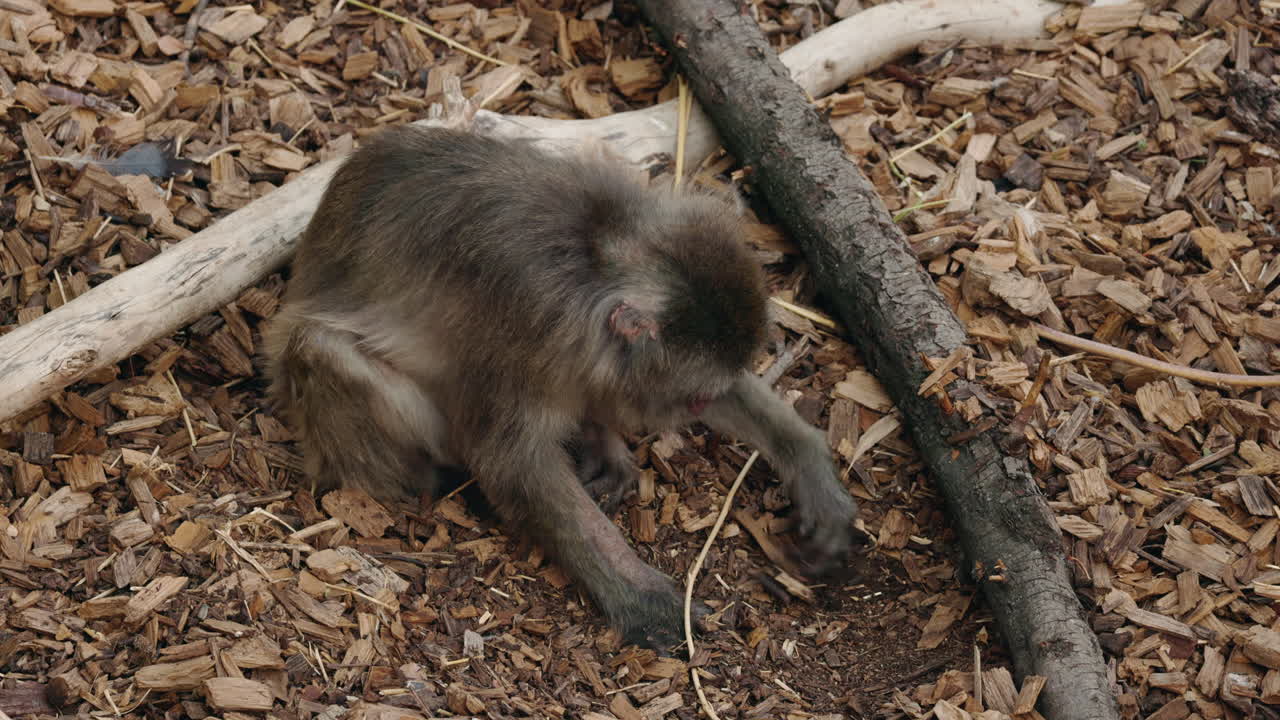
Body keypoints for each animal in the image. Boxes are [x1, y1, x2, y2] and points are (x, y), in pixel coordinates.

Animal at [263, 125, 858, 649]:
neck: (601, 255)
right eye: (694, 399)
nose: (687, 413)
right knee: (319, 348)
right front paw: (643, 599)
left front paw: (812, 472)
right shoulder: (528, 327)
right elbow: (512, 463)